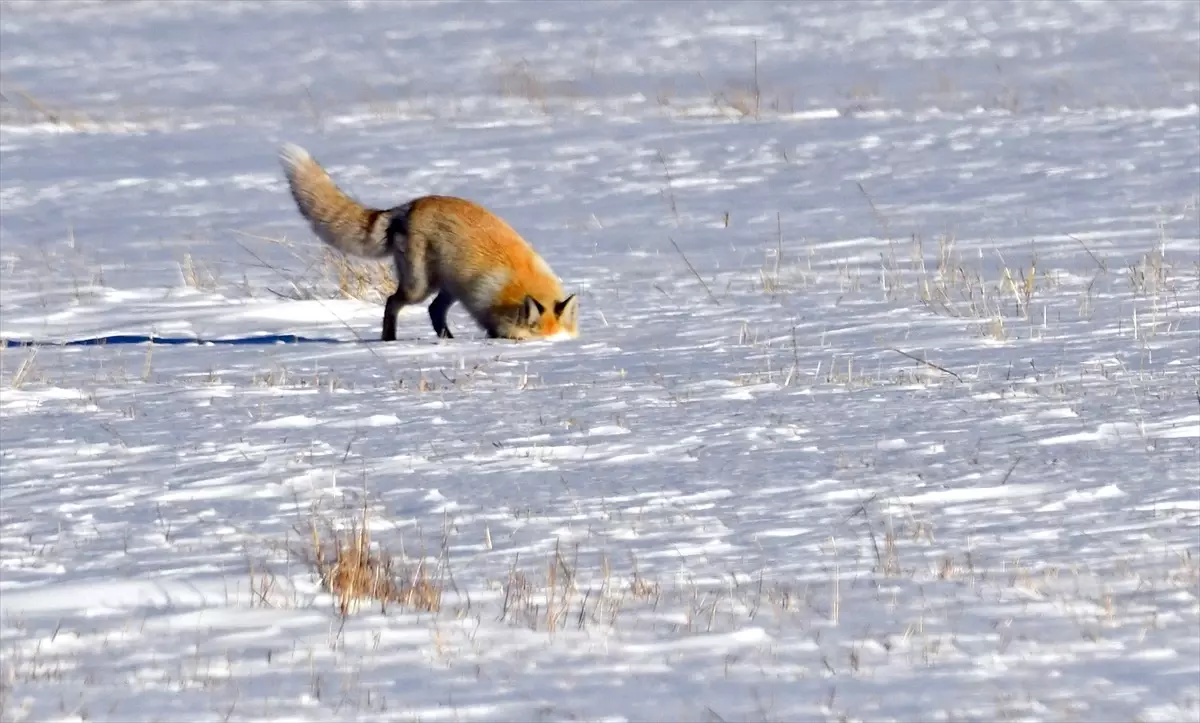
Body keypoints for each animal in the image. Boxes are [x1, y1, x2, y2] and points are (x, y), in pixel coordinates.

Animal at [280, 143, 580, 343]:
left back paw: (447, 339)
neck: (520, 286)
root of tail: (409, 206)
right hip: (419, 286)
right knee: (392, 302)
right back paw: (390, 339)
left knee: (434, 311)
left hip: (449, 287)